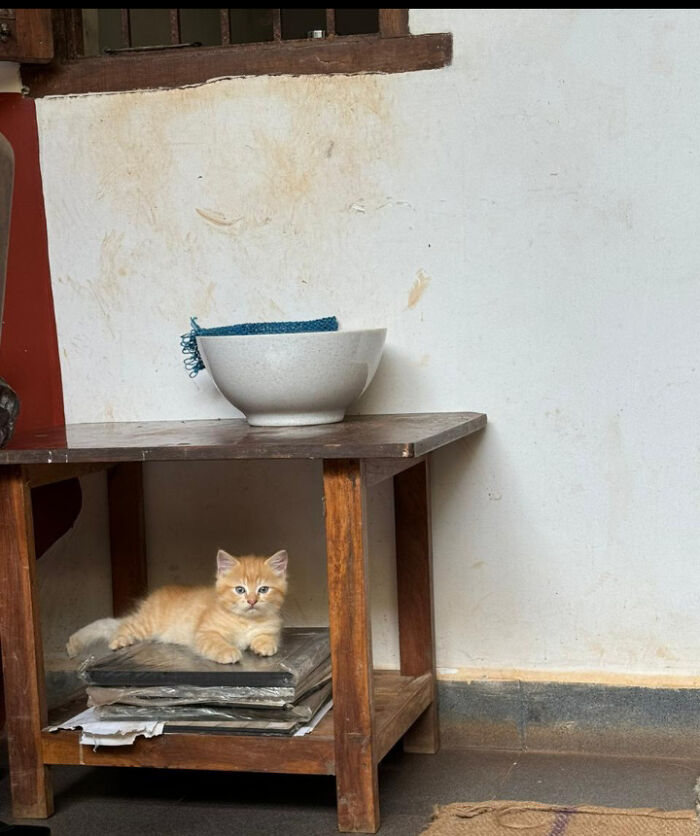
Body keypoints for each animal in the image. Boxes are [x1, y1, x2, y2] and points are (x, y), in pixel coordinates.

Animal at [65, 552, 284, 664]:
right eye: (240, 589)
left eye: (263, 589)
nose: (252, 601)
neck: (246, 621)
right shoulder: (204, 633)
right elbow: (216, 643)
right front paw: (228, 652)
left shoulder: (270, 629)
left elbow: (266, 636)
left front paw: (264, 646)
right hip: (146, 624)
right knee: (123, 626)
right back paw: (118, 641)